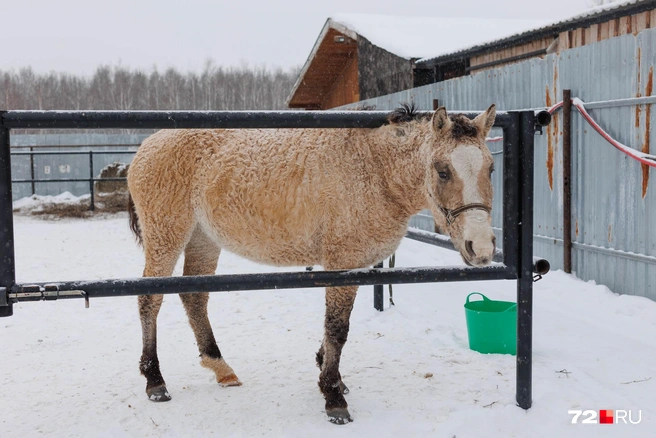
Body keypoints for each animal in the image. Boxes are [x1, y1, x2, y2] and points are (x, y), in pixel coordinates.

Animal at [125, 102, 498, 424]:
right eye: (443, 171)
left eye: (491, 168)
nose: (481, 248)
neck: (372, 169)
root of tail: (147, 146)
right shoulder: (341, 262)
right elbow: (337, 329)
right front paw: (333, 396)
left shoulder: (353, 265)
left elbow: (335, 327)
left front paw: (326, 371)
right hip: (166, 237)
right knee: (149, 300)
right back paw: (155, 381)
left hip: (203, 240)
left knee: (194, 297)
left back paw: (221, 368)